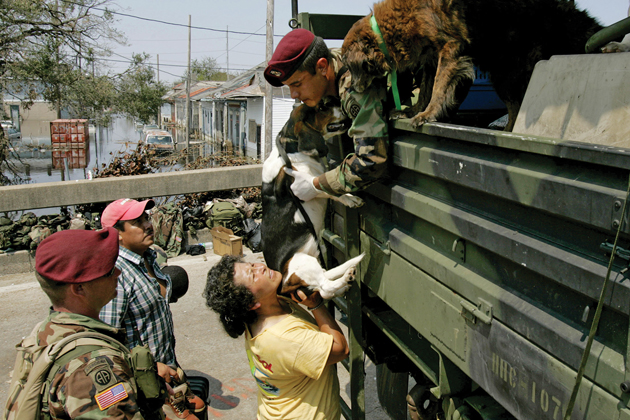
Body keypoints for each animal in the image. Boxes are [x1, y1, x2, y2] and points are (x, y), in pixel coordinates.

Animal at [262, 104, 366, 298]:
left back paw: (344, 283)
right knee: (325, 287)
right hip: (303, 262)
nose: (340, 104)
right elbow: (328, 190)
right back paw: (346, 278)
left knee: (325, 286)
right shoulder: (307, 185)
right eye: (323, 107)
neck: (291, 150)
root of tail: (283, 286)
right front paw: (351, 199)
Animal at [344, 0, 604, 130]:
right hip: (504, 76)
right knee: (515, 106)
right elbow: (427, 89)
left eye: (350, 65)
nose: (350, 88)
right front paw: (414, 111)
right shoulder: (431, 56)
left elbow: (439, 87)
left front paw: (427, 114)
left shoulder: (450, 47)